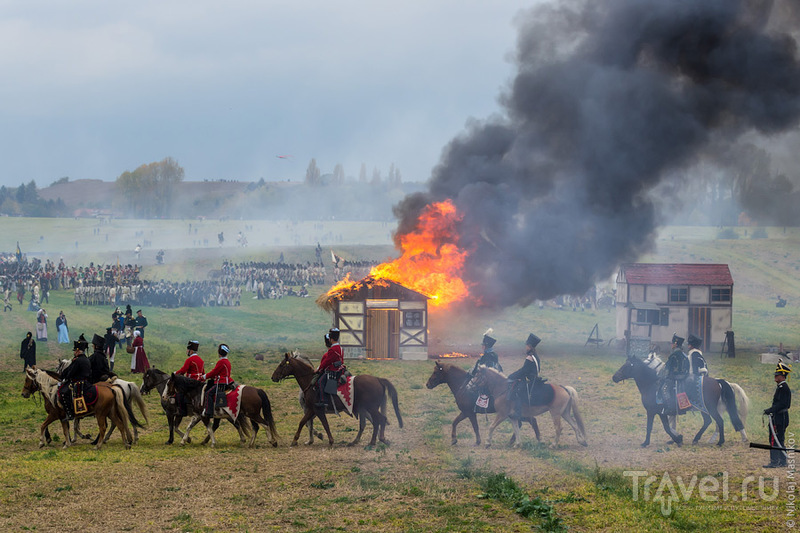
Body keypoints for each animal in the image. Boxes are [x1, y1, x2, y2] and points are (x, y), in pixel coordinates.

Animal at [270, 352, 406, 446]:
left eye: (281, 365)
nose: (273, 377)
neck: (310, 382)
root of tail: (378, 379)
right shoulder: (311, 410)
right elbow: (303, 422)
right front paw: (296, 440)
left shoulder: (317, 409)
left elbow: (323, 424)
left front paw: (329, 440)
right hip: (367, 409)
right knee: (374, 422)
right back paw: (368, 440)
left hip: (371, 408)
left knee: (379, 420)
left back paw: (375, 440)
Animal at [612, 354, 752, 448]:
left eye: (626, 366)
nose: (614, 377)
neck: (652, 384)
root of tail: (718, 382)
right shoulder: (658, 412)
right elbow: (659, 427)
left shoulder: (655, 412)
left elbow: (661, 427)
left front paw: (676, 439)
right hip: (704, 409)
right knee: (708, 422)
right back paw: (697, 439)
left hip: (711, 408)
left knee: (719, 421)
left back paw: (720, 442)